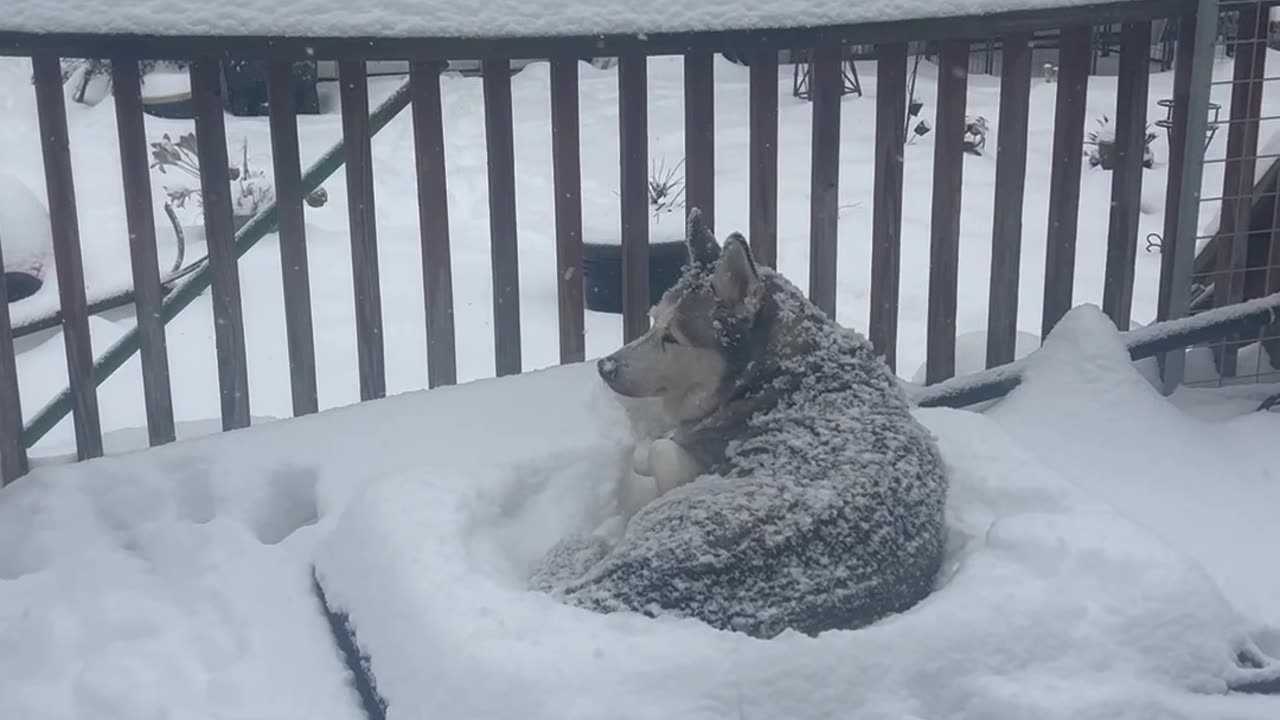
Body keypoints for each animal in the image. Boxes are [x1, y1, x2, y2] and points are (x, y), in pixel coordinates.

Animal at [532, 210, 952, 635]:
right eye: (652, 321)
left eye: (673, 338)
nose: (605, 366)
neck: (780, 374)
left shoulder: (678, 461)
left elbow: (660, 448)